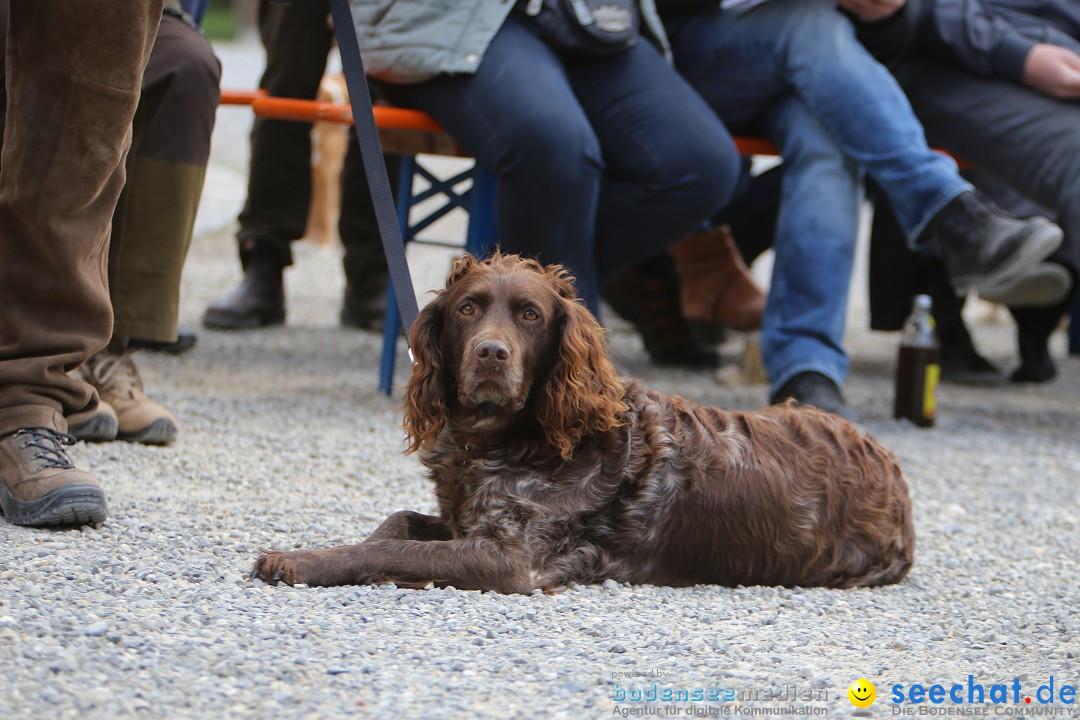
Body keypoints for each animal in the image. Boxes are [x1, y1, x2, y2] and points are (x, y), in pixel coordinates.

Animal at [250, 252, 911, 591]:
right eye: (468, 309)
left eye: (531, 315)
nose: (492, 354)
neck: (513, 440)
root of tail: (890, 465)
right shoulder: (465, 520)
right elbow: (393, 527)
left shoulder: (511, 557)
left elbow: (393, 552)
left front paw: (302, 560)